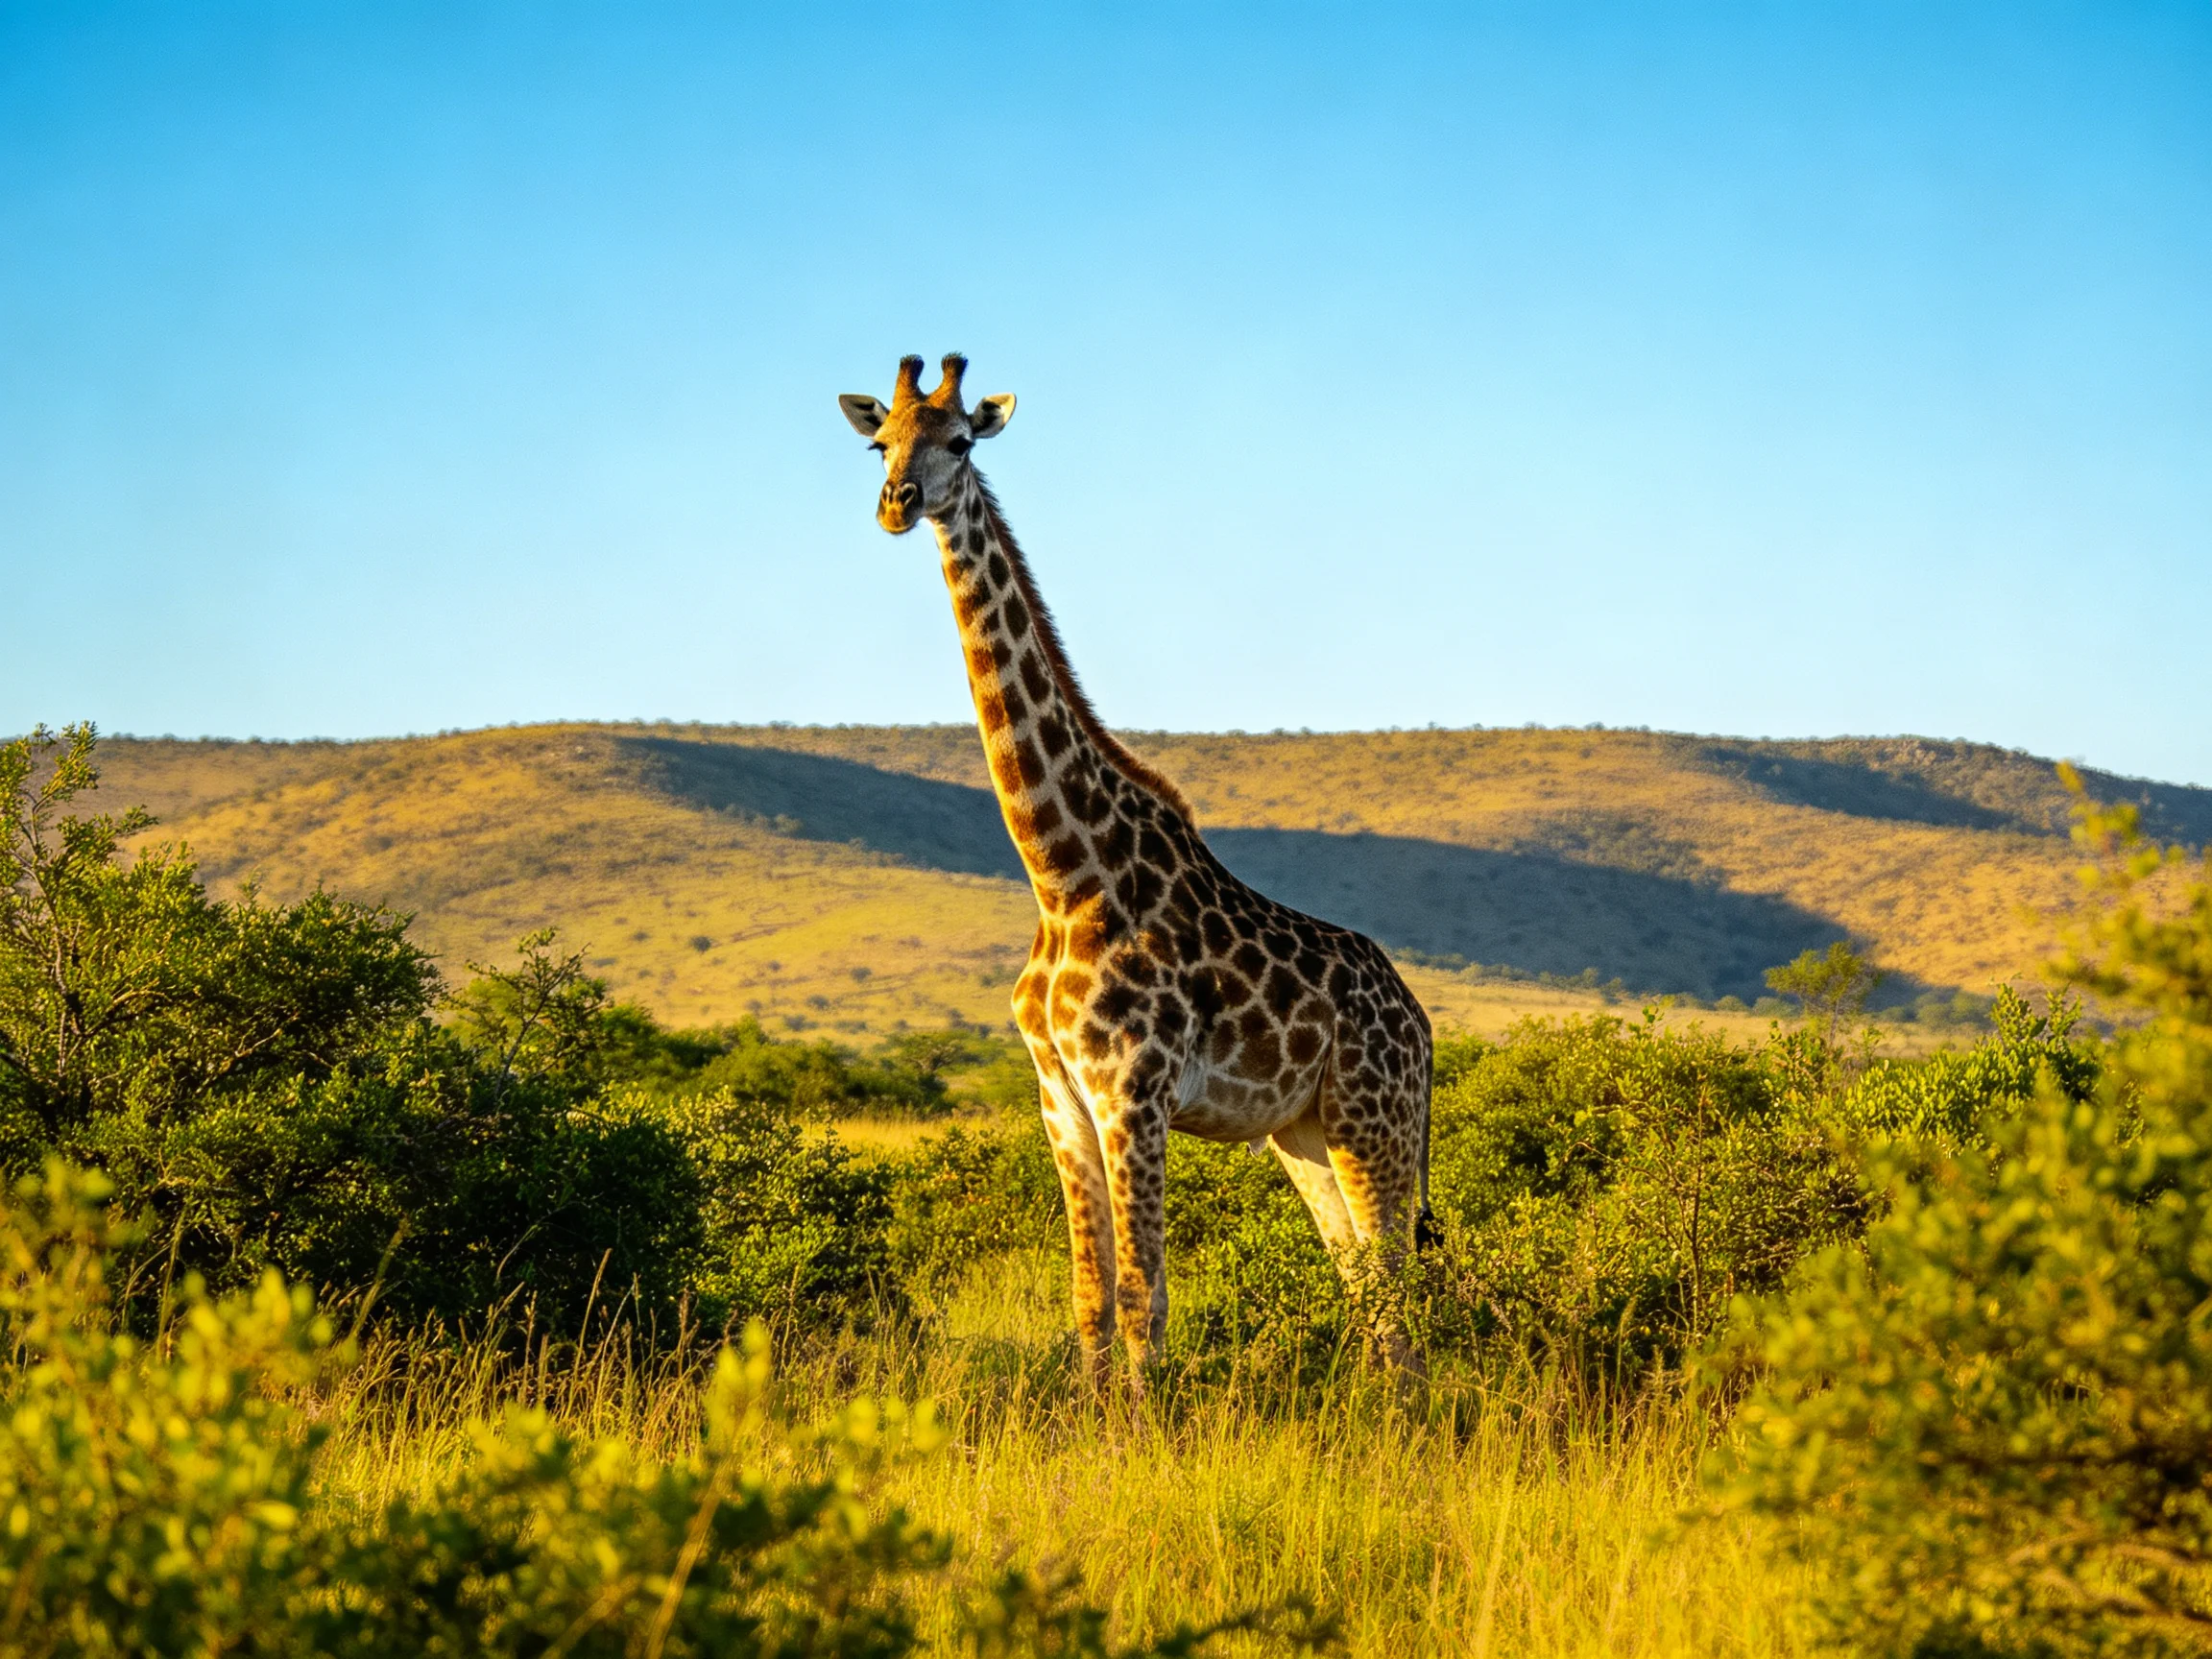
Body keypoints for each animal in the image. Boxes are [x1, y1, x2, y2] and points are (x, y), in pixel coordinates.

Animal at [839, 354, 1434, 1382]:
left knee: (1397, 1280)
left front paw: (1141, 1423)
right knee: (1363, 1282)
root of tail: (1426, 1028)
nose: (897, 503)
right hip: (1305, 1131)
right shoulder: (1060, 1099)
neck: (1063, 875)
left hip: (1376, 1123)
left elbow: (1143, 1299)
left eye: (959, 441)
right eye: (881, 443)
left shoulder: (1134, 1093)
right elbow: (1089, 1298)